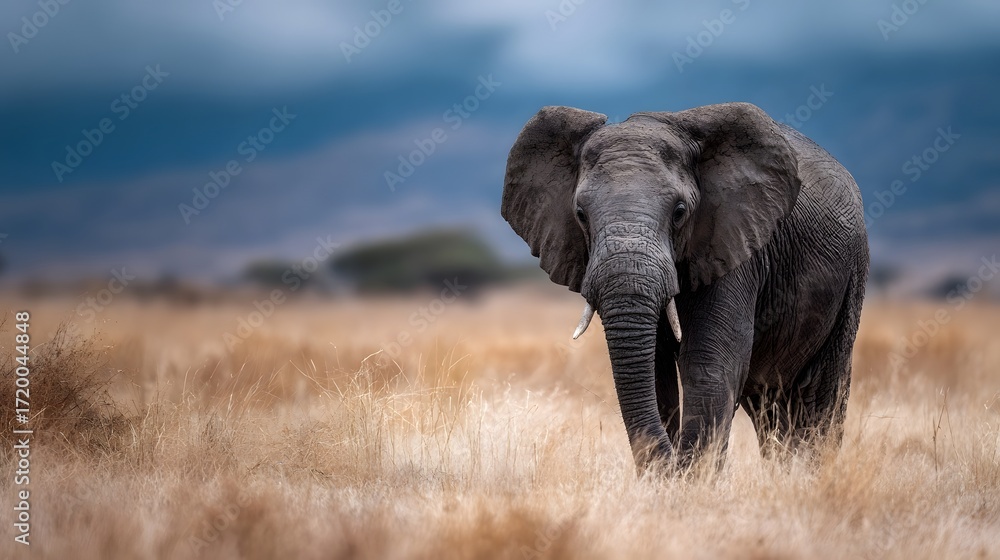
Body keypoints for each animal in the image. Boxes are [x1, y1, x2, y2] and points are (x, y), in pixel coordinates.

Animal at [501, 102, 869, 470]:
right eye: (580, 214)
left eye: (679, 212)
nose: (671, 462)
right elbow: (654, 373)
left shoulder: (734, 243)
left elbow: (709, 367)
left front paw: (690, 477)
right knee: (770, 409)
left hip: (852, 271)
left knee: (822, 396)